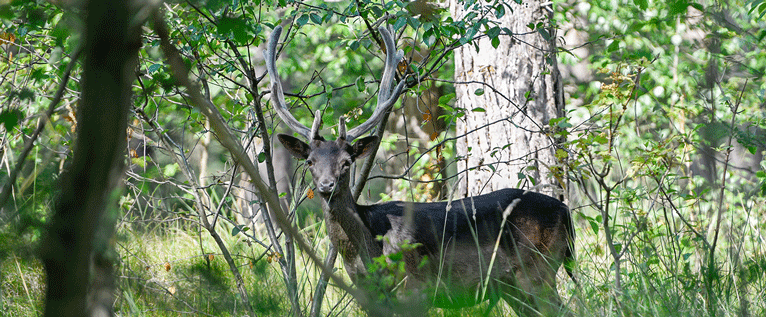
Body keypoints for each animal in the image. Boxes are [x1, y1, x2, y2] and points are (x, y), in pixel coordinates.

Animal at [266, 25, 576, 316]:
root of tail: (566, 212)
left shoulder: (415, 288)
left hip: (537, 271)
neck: (367, 252)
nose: (326, 185)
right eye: (310, 162)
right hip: (515, 287)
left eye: (346, 162)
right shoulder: (368, 297)